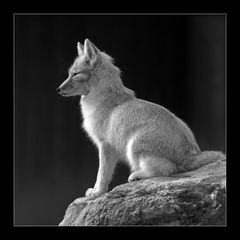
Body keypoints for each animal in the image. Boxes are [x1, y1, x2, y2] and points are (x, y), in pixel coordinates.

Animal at [57, 39, 226, 200]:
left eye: (75, 74)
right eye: (69, 74)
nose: (58, 89)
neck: (108, 100)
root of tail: (191, 154)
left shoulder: (105, 146)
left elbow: (102, 175)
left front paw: (97, 193)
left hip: (133, 146)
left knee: (169, 170)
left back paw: (137, 175)